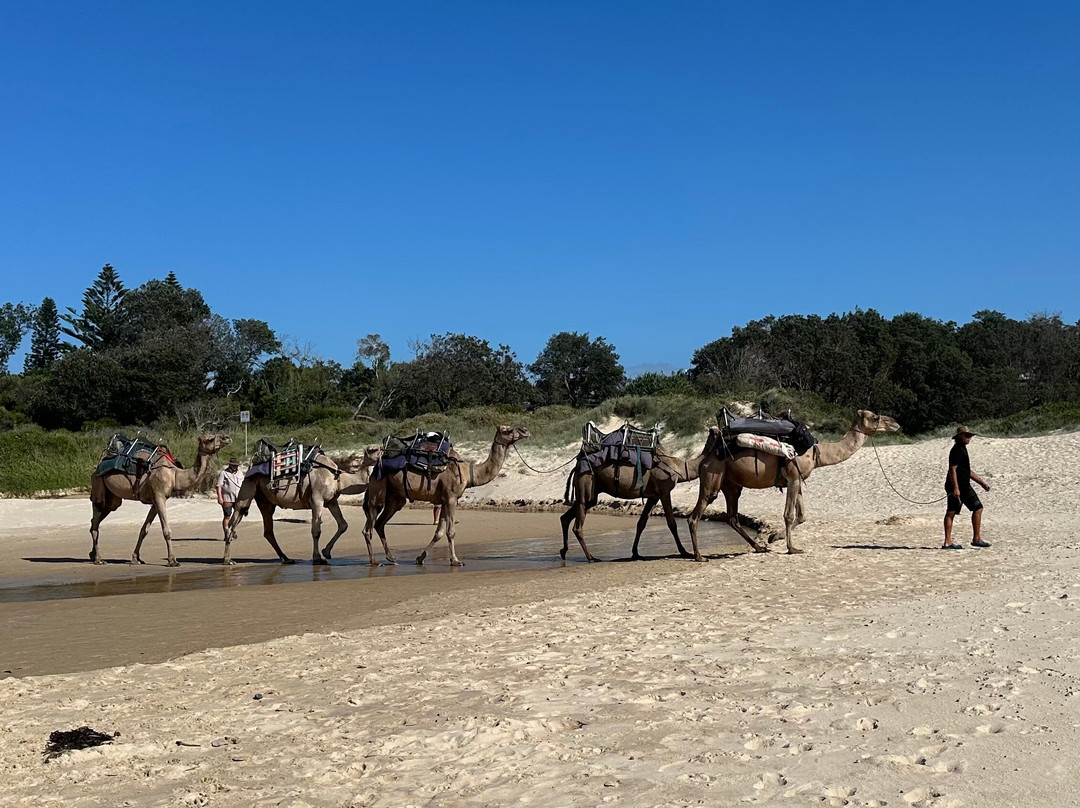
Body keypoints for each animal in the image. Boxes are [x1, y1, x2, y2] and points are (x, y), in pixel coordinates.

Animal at [89, 432, 232, 566]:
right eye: (210, 439)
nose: (227, 437)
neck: (175, 475)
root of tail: (99, 464)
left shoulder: (155, 501)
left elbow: (144, 530)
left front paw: (136, 558)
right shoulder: (159, 496)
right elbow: (166, 531)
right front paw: (172, 560)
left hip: (113, 498)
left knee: (97, 519)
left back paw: (93, 555)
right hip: (98, 484)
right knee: (95, 521)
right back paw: (98, 559)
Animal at [226, 445, 383, 565]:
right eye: (373, 449)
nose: (384, 451)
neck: (338, 479)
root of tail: (251, 466)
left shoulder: (331, 501)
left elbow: (343, 525)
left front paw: (327, 552)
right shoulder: (317, 500)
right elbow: (316, 530)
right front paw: (318, 558)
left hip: (265, 501)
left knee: (268, 530)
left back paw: (286, 559)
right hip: (248, 486)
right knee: (235, 518)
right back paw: (228, 560)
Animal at [362, 425, 531, 567]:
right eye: (508, 429)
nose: (525, 430)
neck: (469, 473)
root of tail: (374, 469)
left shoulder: (443, 500)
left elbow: (439, 532)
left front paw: (420, 558)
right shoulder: (451, 497)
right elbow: (451, 531)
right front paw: (456, 561)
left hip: (395, 498)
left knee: (380, 524)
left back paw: (391, 558)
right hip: (378, 490)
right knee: (368, 527)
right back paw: (375, 561)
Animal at [560, 427, 720, 562]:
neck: (677, 466)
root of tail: (576, 466)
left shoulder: (653, 496)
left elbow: (641, 523)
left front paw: (636, 553)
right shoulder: (664, 491)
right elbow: (671, 523)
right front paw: (684, 552)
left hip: (592, 491)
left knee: (567, 516)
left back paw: (564, 551)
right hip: (586, 481)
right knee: (578, 524)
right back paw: (591, 557)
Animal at [685, 410, 900, 559]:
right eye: (875, 417)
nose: (896, 423)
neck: (816, 453)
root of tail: (705, 458)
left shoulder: (796, 479)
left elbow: (802, 515)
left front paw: (774, 537)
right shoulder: (793, 477)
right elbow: (789, 515)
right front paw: (791, 548)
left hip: (731, 484)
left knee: (732, 517)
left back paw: (759, 547)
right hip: (712, 477)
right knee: (695, 516)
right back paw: (699, 556)